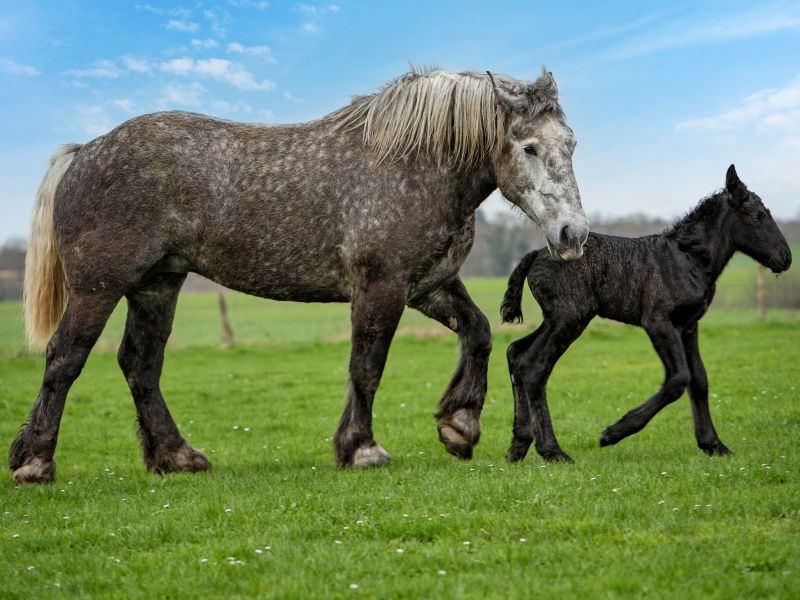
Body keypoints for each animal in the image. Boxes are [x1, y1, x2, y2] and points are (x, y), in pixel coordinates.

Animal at [504, 166, 792, 462]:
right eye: (756, 216)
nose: (786, 257)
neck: (686, 258)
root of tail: (537, 254)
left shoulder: (689, 325)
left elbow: (699, 379)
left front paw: (713, 444)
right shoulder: (658, 322)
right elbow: (678, 379)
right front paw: (613, 433)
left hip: (556, 318)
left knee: (516, 353)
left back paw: (518, 445)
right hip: (569, 317)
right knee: (534, 366)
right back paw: (552, 450)